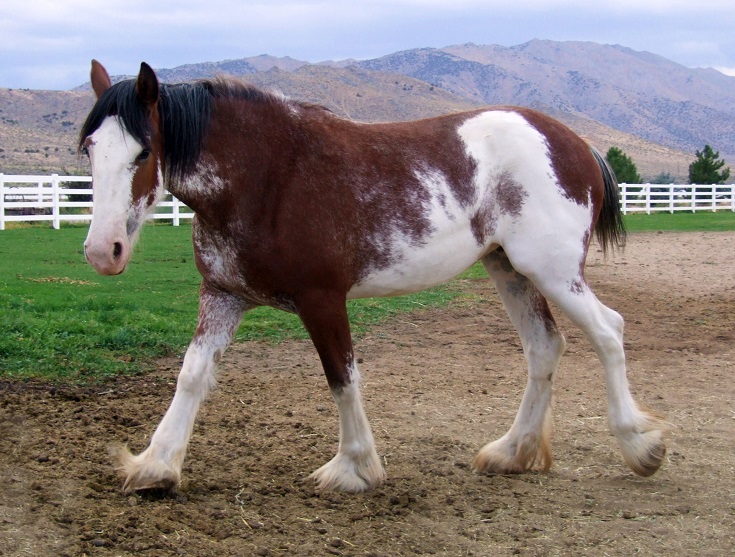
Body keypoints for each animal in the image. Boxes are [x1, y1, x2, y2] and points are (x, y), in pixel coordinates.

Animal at [79, 60, 668, 494]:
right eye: (89, 149)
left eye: (143, 151)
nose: (103, 252)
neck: (267, 175)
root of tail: (575, 141)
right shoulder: (223, 294)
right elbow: (192, 375)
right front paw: (156, 464)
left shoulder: (322, 299)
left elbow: (342, 378)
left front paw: (354, 468)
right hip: (510, 271)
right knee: (545, 347)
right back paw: (512, 452)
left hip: (552, 272)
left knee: (608, 331)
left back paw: (640, 446)